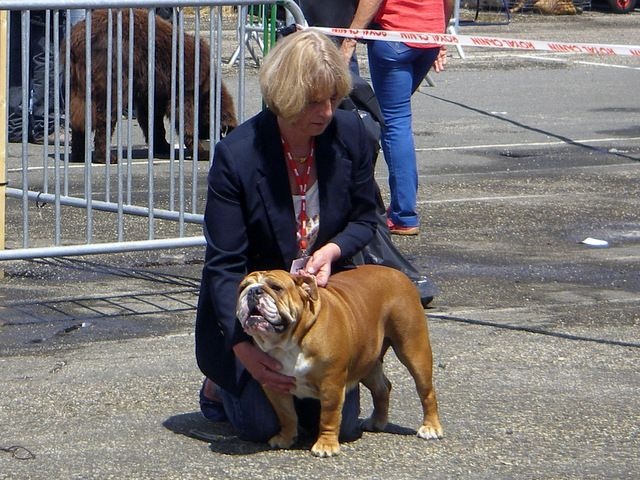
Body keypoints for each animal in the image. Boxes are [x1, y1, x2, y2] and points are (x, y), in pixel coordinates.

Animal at [67, 9, 237, 163]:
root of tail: (78, 38)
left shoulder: (155, 92)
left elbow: (152, 118)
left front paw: (162, 146)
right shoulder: (184, 87)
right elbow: (185, 116)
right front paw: (200, 150)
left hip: (77, 82)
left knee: (80, 114)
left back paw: (79, 154)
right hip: (111, 73)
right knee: (105, 115)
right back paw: (106, 156)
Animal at [236, 264, 443, 457]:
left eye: (276, 287)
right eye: (243, 287)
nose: (253, 291)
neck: (287, 342)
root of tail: (397, 273)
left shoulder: (331, 384)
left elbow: (329, 415)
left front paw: (325, 445)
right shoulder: (273, 385)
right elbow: (286, 414)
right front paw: (286, 438)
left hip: (413, 349)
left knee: (426, 390)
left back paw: (431, 427)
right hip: (368, 361)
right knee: (382, 388)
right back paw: (377, 422)